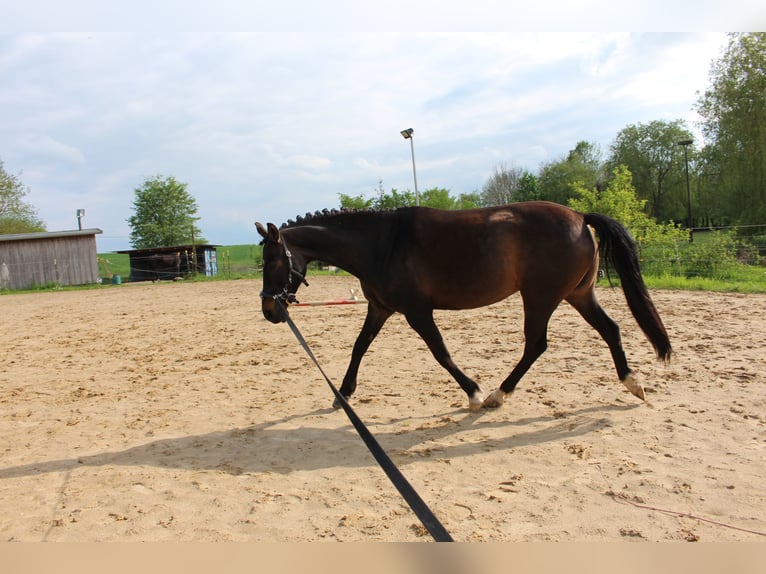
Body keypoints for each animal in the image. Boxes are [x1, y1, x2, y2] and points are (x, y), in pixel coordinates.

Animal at [255, 202, 668, 414]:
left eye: (271, 262)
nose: (270, 311)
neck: (381, 244)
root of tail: (581, 217)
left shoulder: (417, 312)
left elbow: (441, 353)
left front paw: (473, 393)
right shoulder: (380, 309)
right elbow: (359, 347)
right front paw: (343, 394)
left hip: (540, 297)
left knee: (536, 345)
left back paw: (497, 395)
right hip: (577, 294)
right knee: (610, 329)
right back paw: (633, 383)